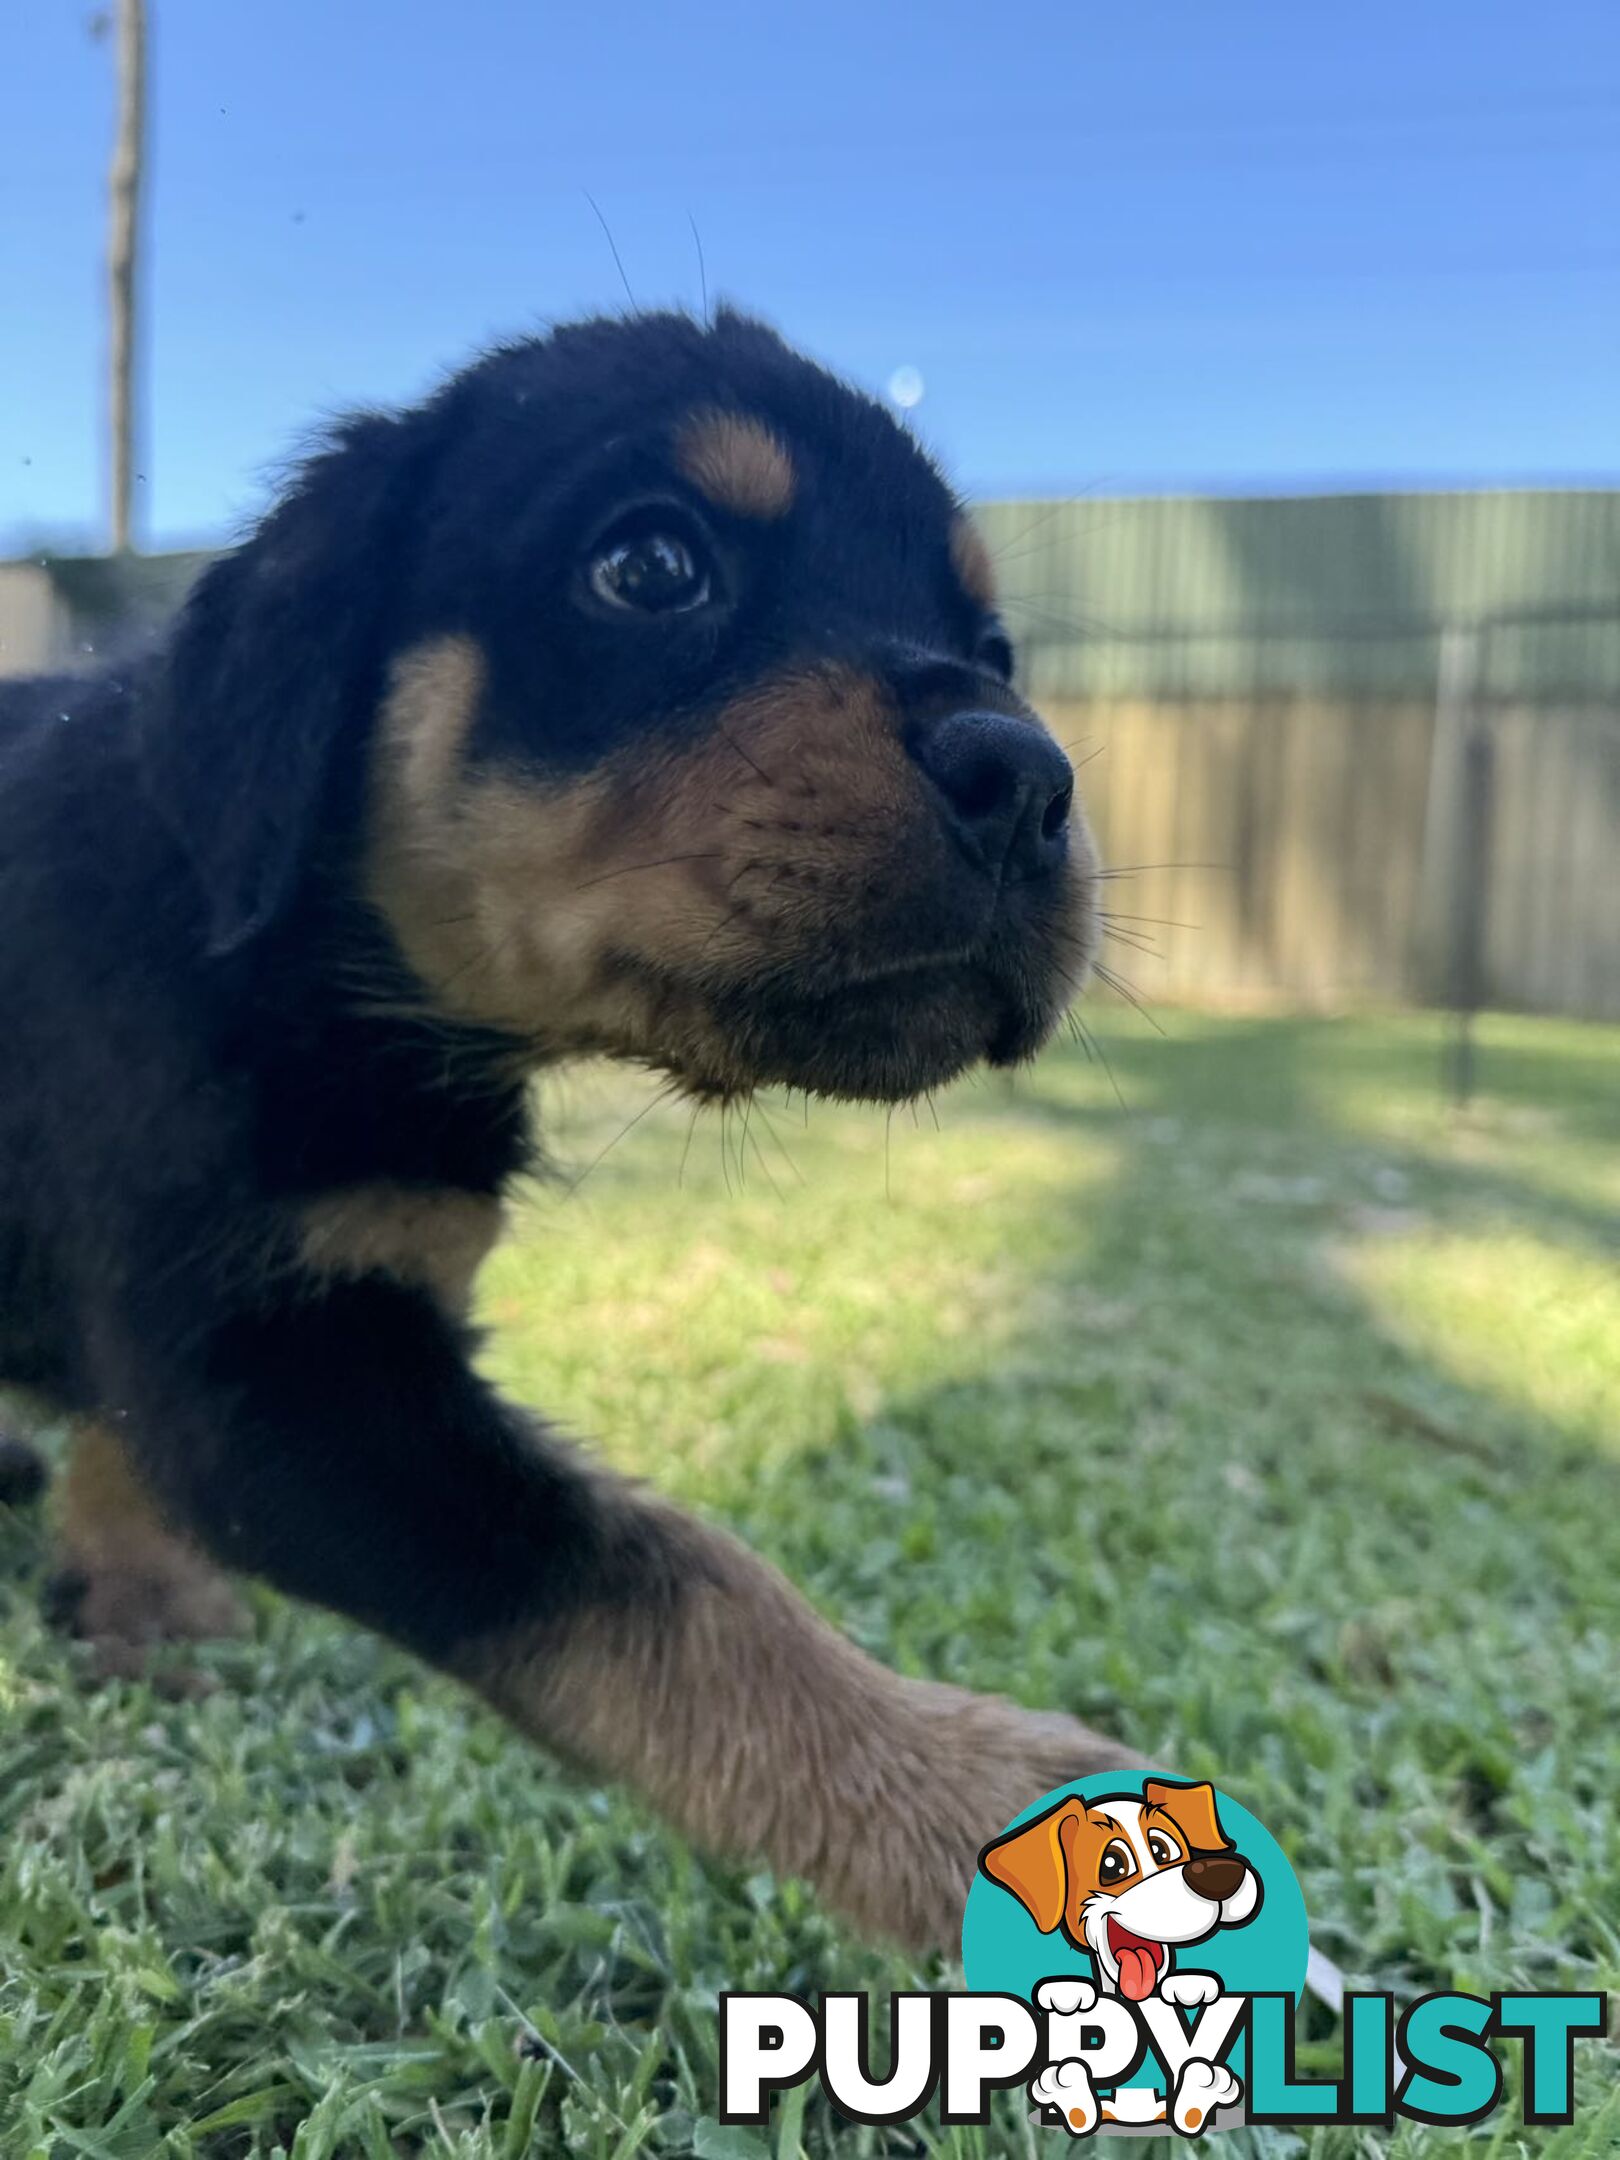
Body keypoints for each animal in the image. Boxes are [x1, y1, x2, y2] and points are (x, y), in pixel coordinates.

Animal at [0, 313, 1131, 1952]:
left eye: (997, 651)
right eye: (651, 567)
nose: (1034, 778)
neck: (299, 954)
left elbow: (128, 1431)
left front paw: (134, 1590)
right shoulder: (280, 1367)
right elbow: (675, 1578)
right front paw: (956, 1793)